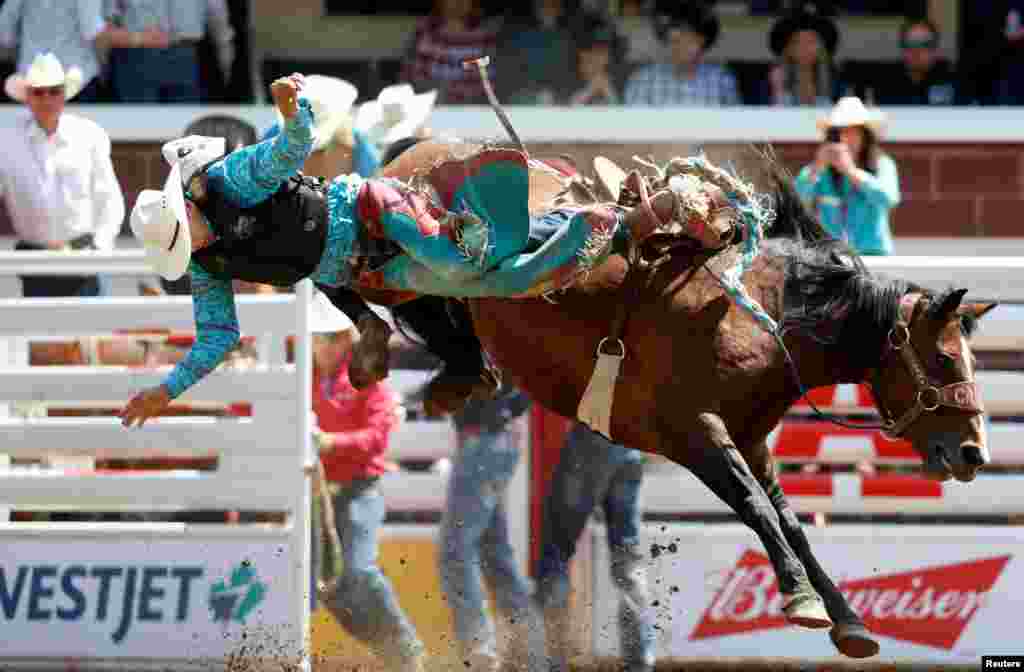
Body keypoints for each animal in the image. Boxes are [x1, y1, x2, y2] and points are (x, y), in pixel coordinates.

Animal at [372, 145, 995, 655]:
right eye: (945, 358)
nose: (973, 454)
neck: (761, 317)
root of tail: (420, 151)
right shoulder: (693, 432)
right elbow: (755, 506)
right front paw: (802, 600)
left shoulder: (752, 441)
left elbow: (789, 518)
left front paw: (848, 619)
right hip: (404, 269)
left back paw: (456, 376)